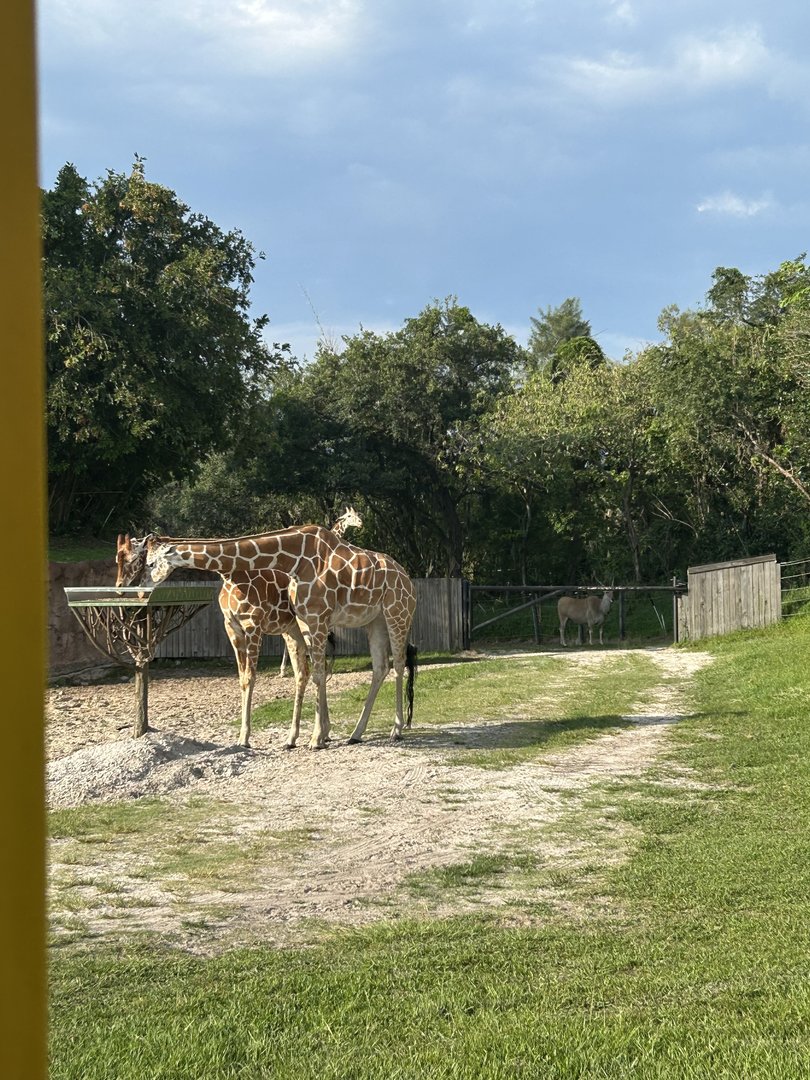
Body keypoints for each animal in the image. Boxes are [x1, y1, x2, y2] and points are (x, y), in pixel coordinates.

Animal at [115, 533, 311, 749]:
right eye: (117, 559)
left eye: (137, 560)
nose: (121, 588)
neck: (232, 576)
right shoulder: (232, 628)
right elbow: (242, 679)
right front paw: (242, 737)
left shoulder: (253, 627)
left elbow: (250, 678)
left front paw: (245, 738)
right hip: (292, 630)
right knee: (303, 673)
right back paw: (294, 738)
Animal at [143, 525, 417, 749]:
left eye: (149, 563)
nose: (145, 589)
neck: (294, 559)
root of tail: (407, 577)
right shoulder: (295, 622)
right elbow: (304, 675)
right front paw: (316, 735)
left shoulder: (288, 621)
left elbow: (308, 676)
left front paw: (313, 739)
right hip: (374, 621)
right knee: (379, 667)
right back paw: (355, 733)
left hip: (397, 613)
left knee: (398, 663)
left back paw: (396, 730)